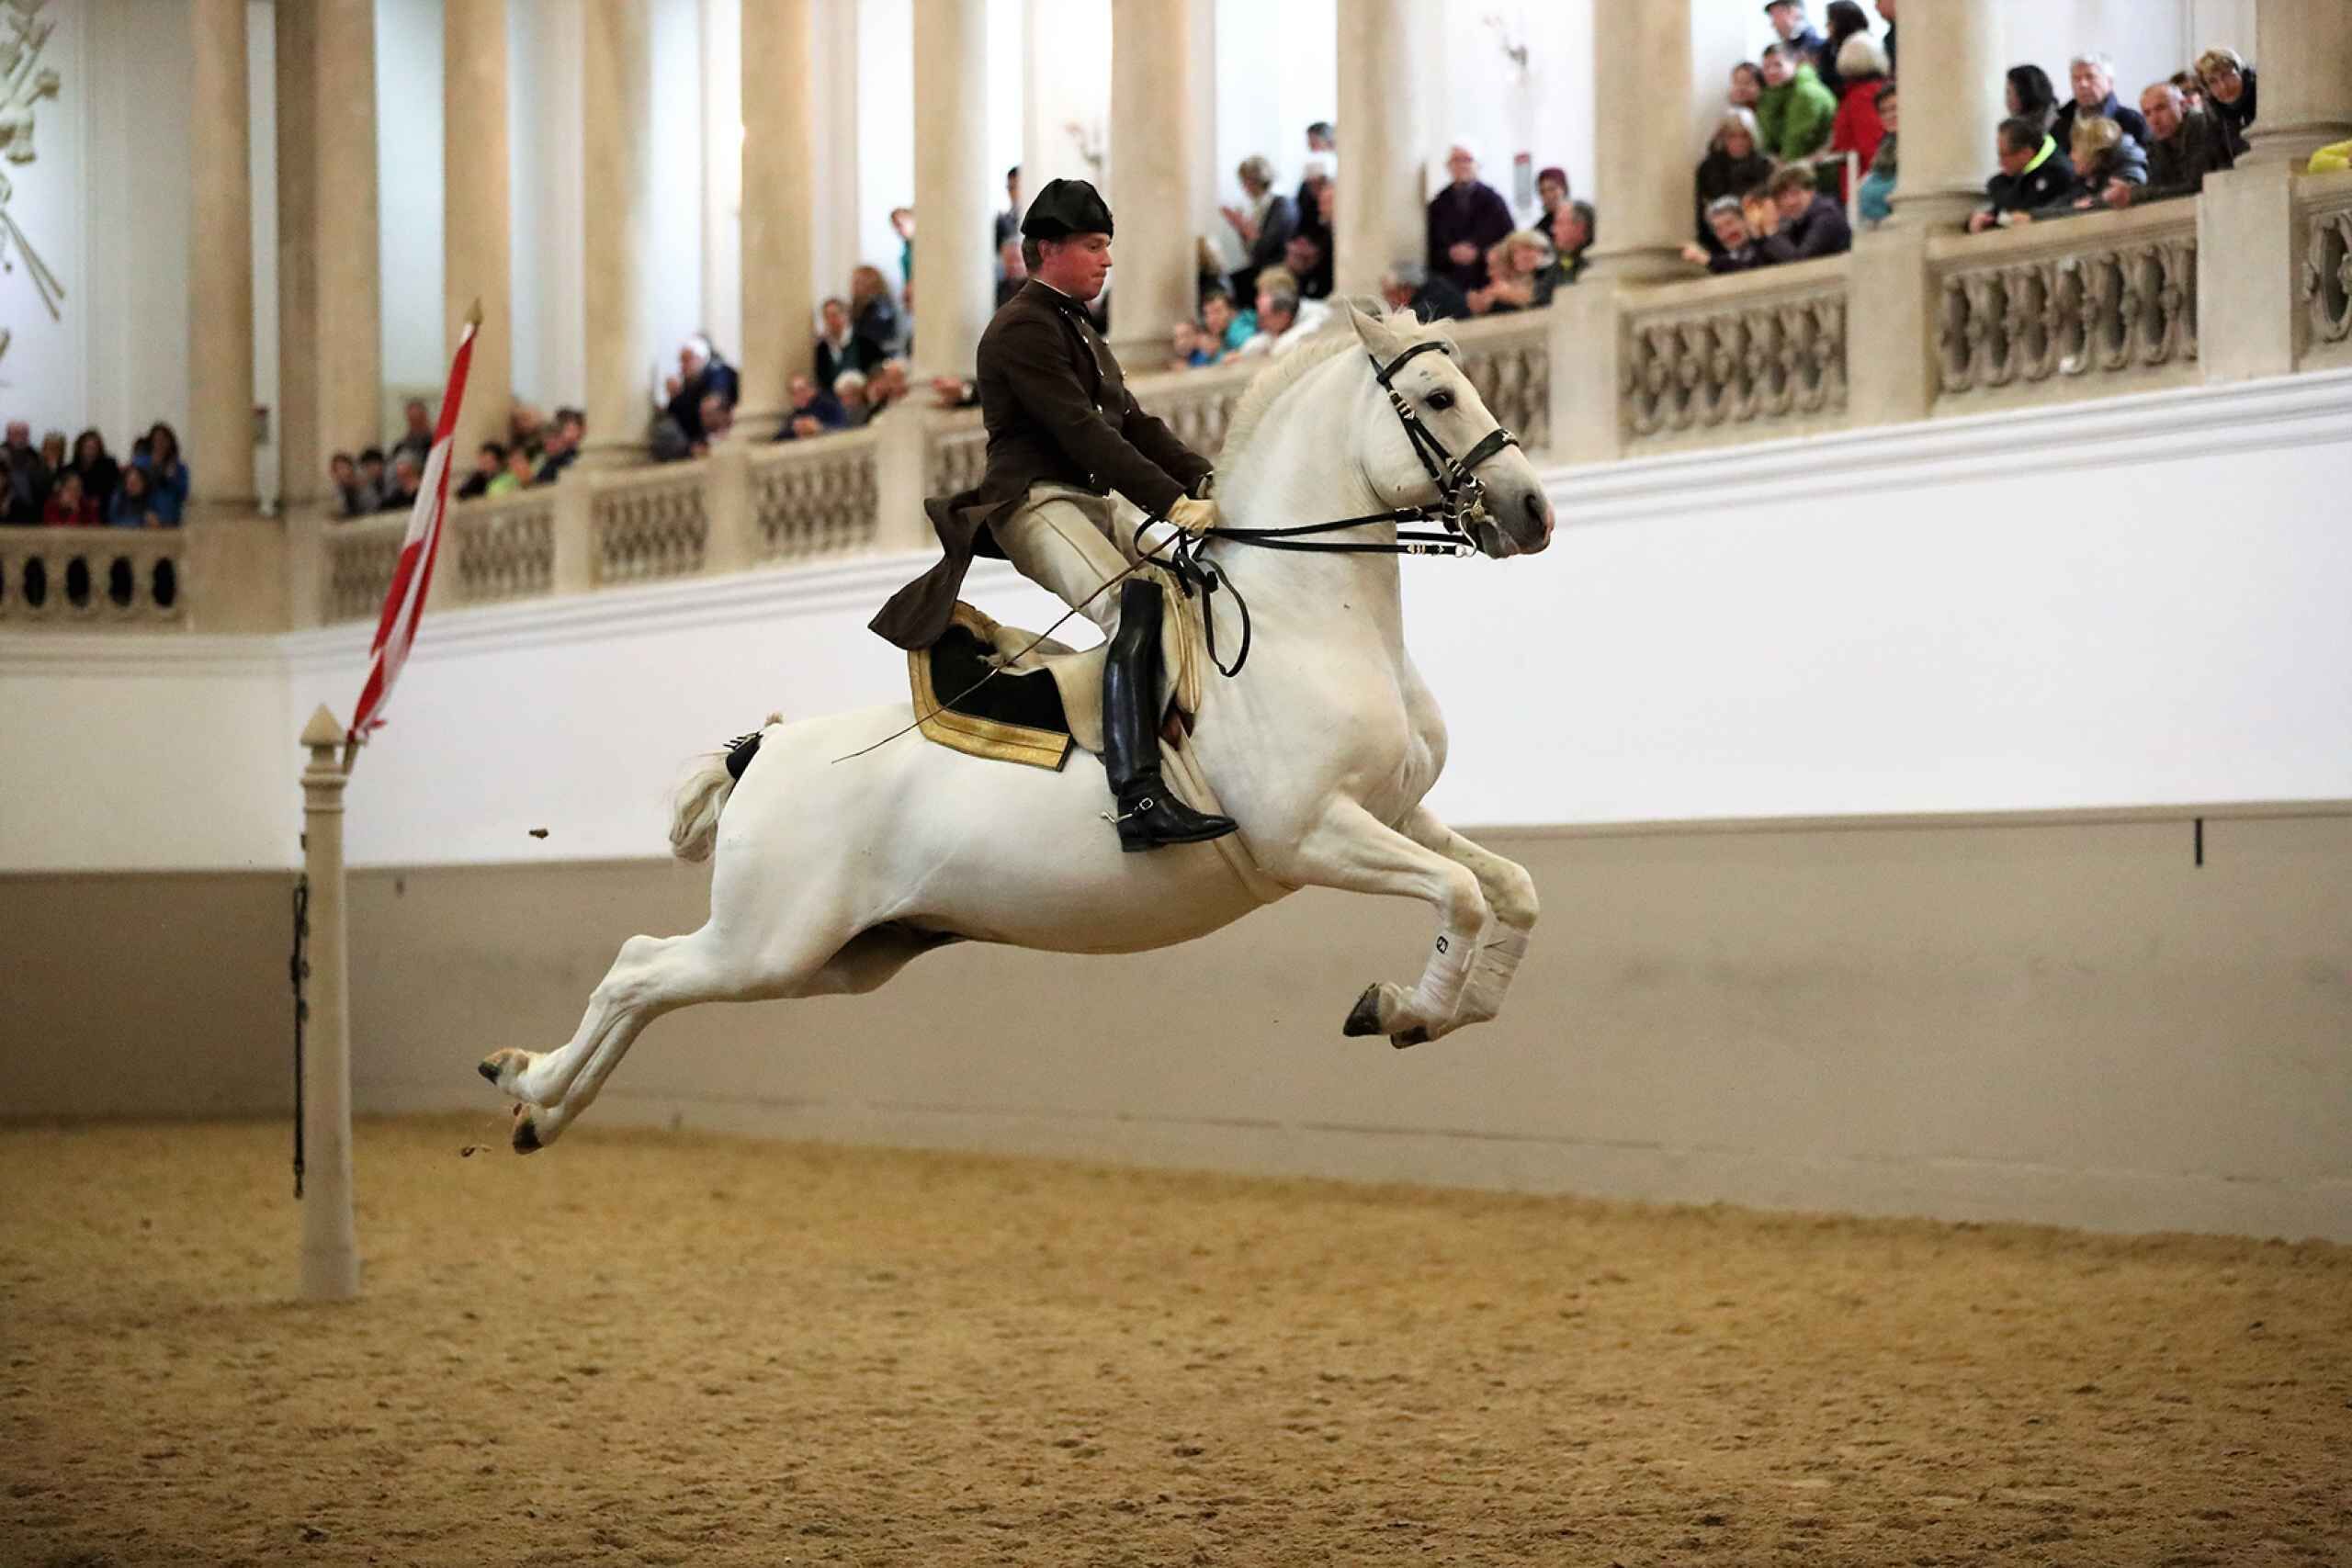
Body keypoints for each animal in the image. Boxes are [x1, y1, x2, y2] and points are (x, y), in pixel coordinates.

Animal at [480, 303, 1552, 1152]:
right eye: (1440, 396)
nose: (1531, 509)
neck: (1308, 616)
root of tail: (766, 750)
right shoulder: (1315, 835)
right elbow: (1460, 896)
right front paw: (1406, 1010)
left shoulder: (1396, 813)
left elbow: (1511, 891)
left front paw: (1440, 1009)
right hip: (769, 940)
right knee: (636, 969)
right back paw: (529, 1083)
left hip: (834, 958)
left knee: (651, 985)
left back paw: (539, 1107)